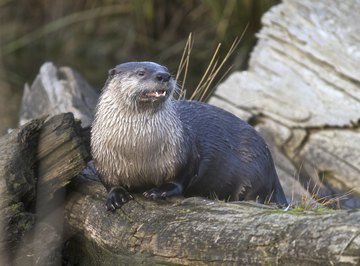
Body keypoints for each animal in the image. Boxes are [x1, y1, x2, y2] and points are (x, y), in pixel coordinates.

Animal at [91, 61, 288, 211]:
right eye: (141, 72)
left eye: (166, 69)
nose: (164, 76)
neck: (138, 149)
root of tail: (272, 169)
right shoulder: (102, 156)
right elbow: (109, 181)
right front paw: (116, 196)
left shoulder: (182, 152)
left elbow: (181, 178)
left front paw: (159, 191)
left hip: (257, 173)